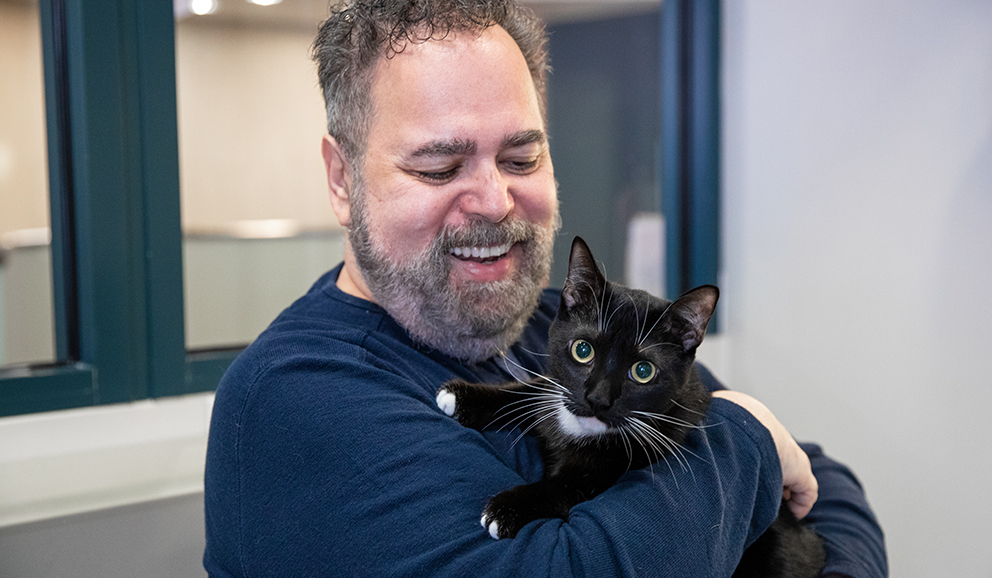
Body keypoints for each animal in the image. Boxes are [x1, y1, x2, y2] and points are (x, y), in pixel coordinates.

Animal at [438, 236, 824, 576]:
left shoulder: (627, 463)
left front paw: (509, 508)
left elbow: (567, 487)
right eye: (582, 350)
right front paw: (464, 396)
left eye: (643, 371)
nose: (597, 399)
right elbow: (529, 392)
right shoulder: (558, 393)